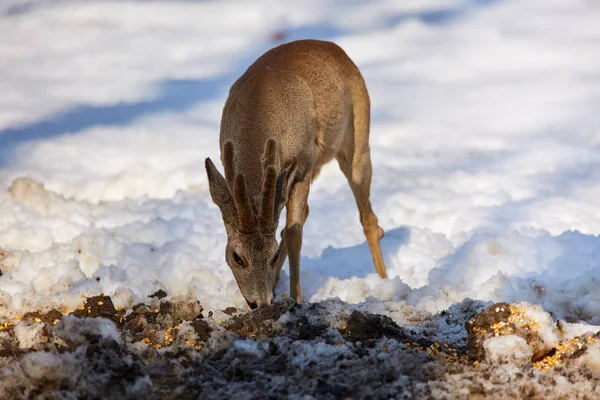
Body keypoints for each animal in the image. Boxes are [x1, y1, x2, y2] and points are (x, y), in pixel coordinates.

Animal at [204, 38, 386, 310]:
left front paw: (296, 299)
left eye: (273, 255)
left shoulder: (302, 168)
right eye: (236, 257)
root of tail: (334, 47)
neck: (259, 107)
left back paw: (385, 282)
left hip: (357, 142)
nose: (260, 304)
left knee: (368, 218)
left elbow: (293, 233)